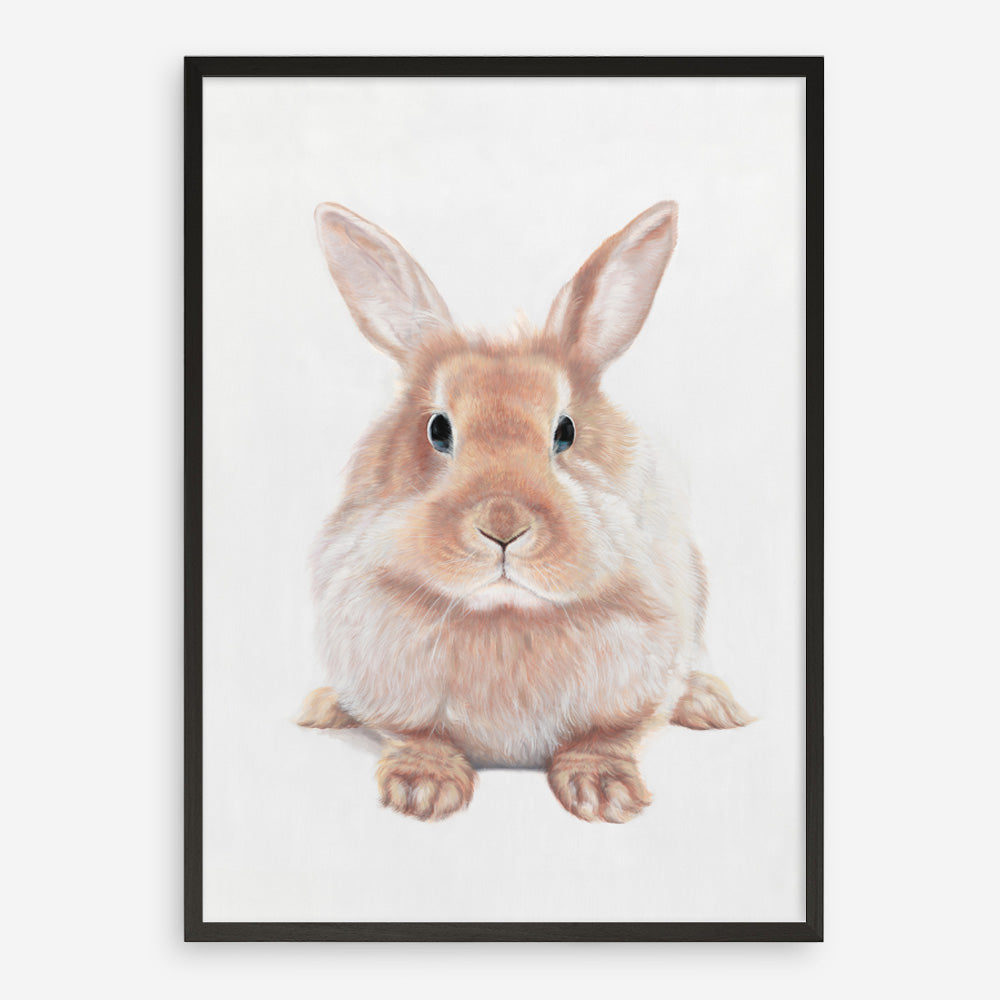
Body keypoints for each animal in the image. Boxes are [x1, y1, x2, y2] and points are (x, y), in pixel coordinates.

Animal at [298, 201, 753, 823]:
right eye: (437, 429)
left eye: (566, 431)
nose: (503, 526)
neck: (505, 615)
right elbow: (416, 735)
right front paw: (423, 789)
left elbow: (606, 736)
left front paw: (605, 794)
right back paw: (323, 707)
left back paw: (713, 703)